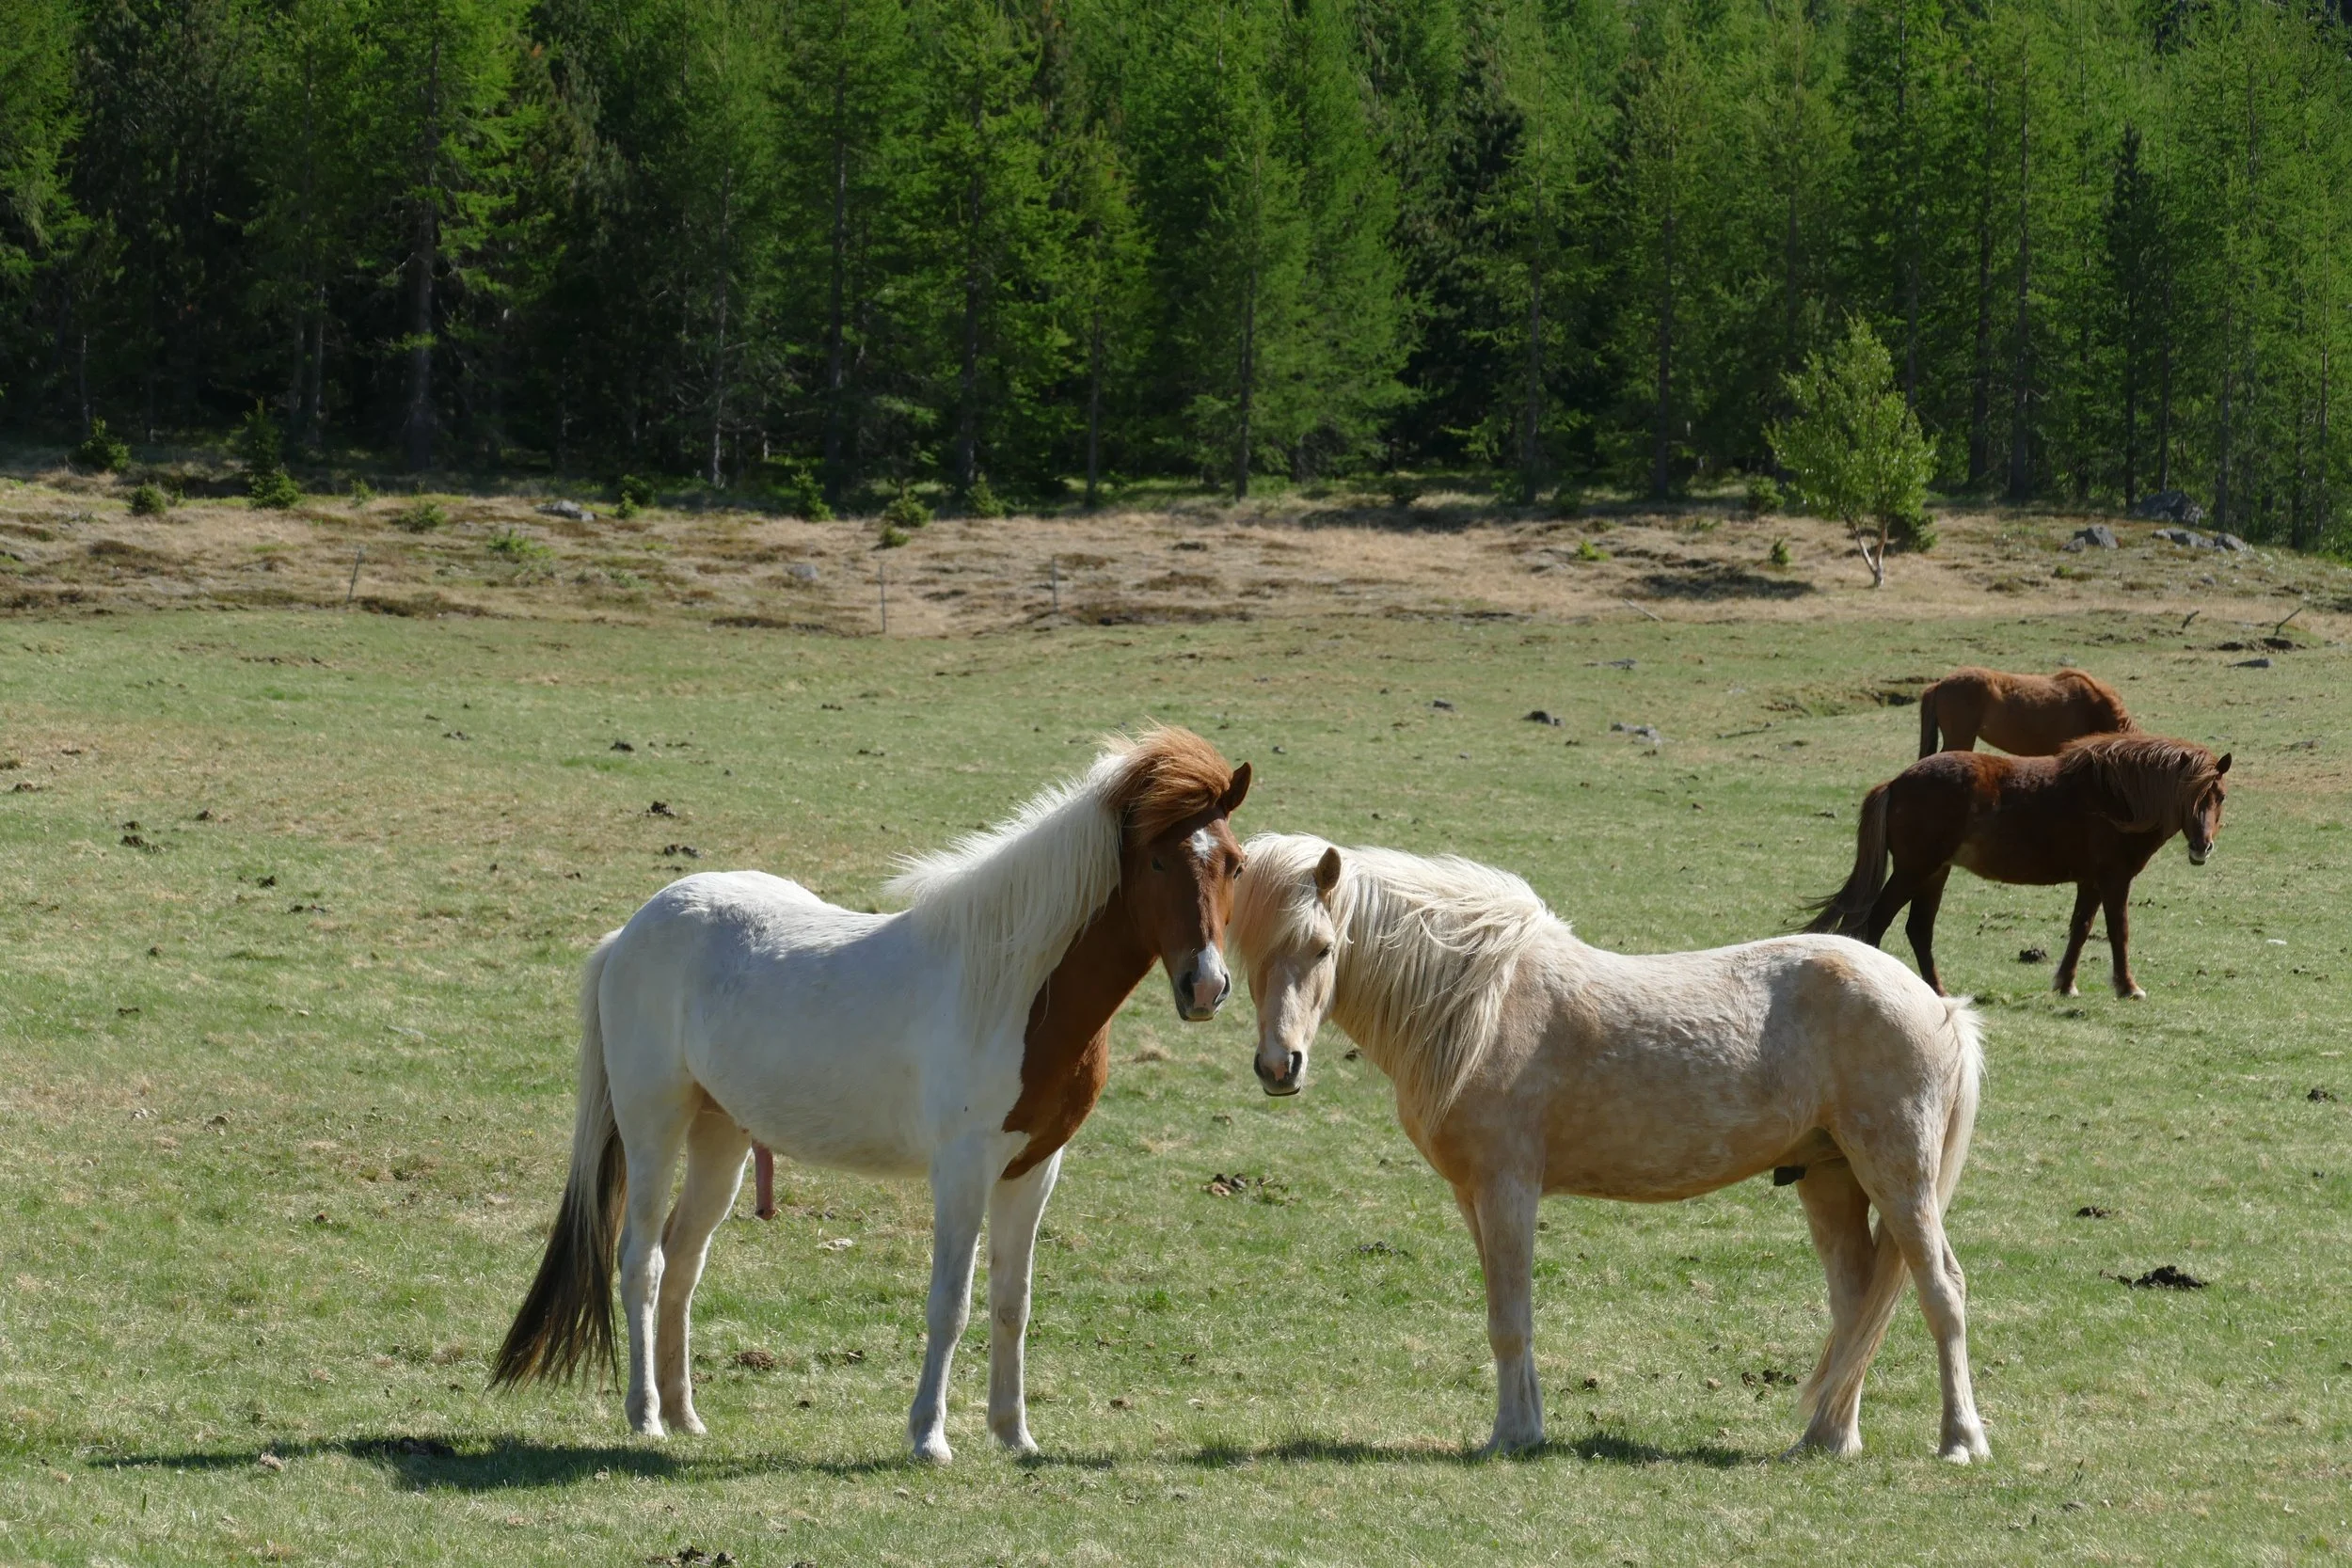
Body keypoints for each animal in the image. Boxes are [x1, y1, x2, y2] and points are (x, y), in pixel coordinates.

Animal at [493, 727, 1252, 1462]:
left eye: (1235, 864)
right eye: (1156, 861)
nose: (1205, 986)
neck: (1013, 986)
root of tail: (629, 934)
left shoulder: (1033, 1169)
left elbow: (1013, 1303)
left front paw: (1014, 1435)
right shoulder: (962, 1170)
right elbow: (951, 1302)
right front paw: (929, 1437)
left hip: (721, 1135)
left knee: (683, 1261)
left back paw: (684, 1415)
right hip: (654, 1126)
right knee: (642, 1263)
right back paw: (646, 1414)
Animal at [1229, 835, 1990, 1464]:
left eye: (1323, 947)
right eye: (1248, 951)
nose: (1278, 1067)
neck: (1483, 1005)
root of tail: (1938, 1007)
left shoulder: (1508, 1187)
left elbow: (1509, 1320)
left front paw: (1510, 1436)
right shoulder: (1475, 1195)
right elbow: (1507, 1313)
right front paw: (1527, 1428)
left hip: (1898, 1177)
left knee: (1940, 1289)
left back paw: (1960, 1441)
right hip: (1829, 1179)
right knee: (1858, 1301)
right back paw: (1826, 1437)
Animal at [1807, 734, 2229, 1000]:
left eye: (2220, 796)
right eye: (2190, 795)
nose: (2202, 847)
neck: (2114, 798)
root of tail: (1896, 782)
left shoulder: (2091, 881)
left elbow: (2081, 928)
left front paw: (2066, 984)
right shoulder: (2114, 879)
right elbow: (2118, 932)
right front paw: (2128, 987)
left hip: (1934, 873)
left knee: (1919, 930)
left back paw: (1938, 991)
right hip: (1915, 870)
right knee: (1878, 920)